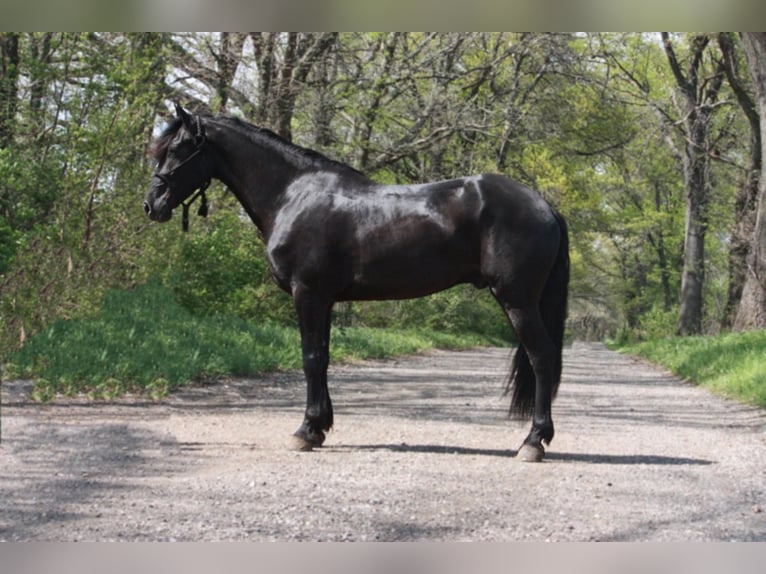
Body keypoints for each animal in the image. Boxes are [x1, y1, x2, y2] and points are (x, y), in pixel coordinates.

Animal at [147, 103, 572, 464]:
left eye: (181, 147)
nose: (152, 204)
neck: (293, 194)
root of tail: (545, 206)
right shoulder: (325, 300)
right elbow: (322, 358)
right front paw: (320, 427)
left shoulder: (308, 294)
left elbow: (310, 359)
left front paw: (305, 431)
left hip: (517, 300)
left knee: (542, 357)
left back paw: (533, 442)